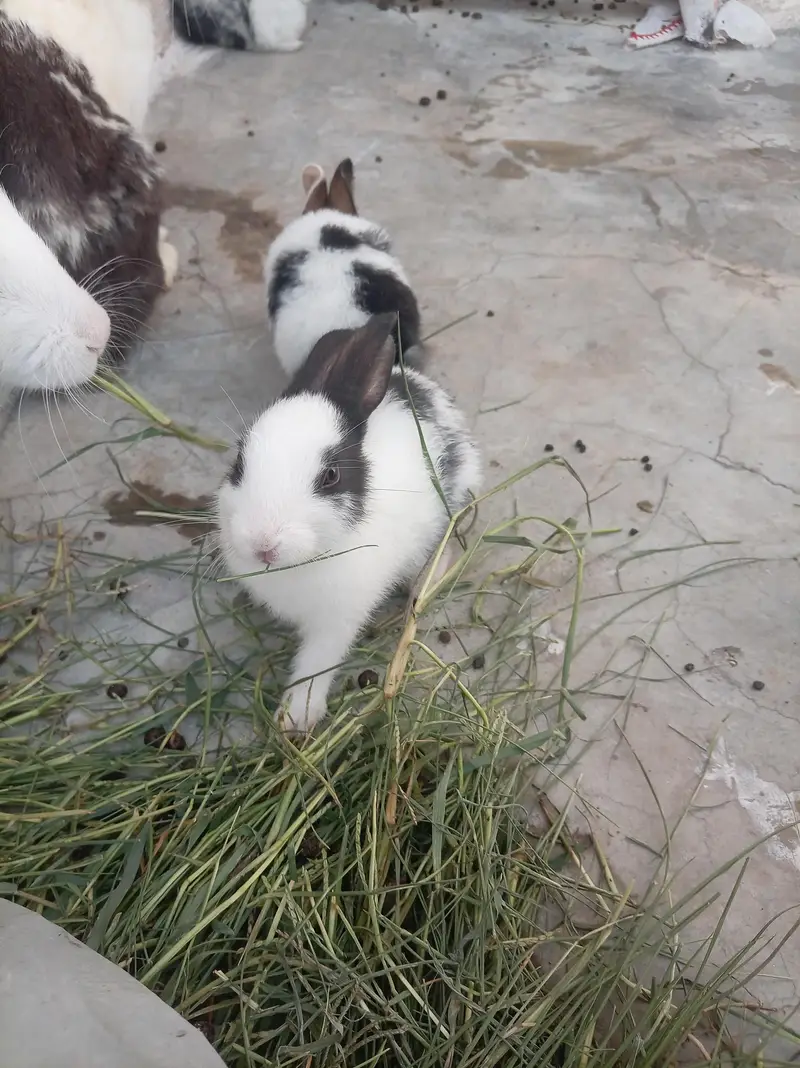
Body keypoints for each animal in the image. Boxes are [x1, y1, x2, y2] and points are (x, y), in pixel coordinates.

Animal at [216, 313, 482, 732]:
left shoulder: (338, 619)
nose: (262, 544)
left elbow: (316, 663)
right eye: (239, 463)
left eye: (330, 476)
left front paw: (294, 718)